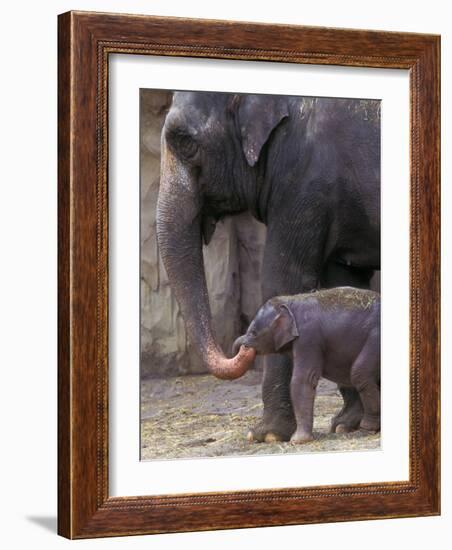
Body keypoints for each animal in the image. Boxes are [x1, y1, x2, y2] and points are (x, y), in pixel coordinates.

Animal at [233, 288, 382, 444]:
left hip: (375, 338)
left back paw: (366, 428)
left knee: (360, 374)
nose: (243, 347)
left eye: (253, 333)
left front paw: (298, 441)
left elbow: (303, 379)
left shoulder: (308, 338)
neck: (290, 302)